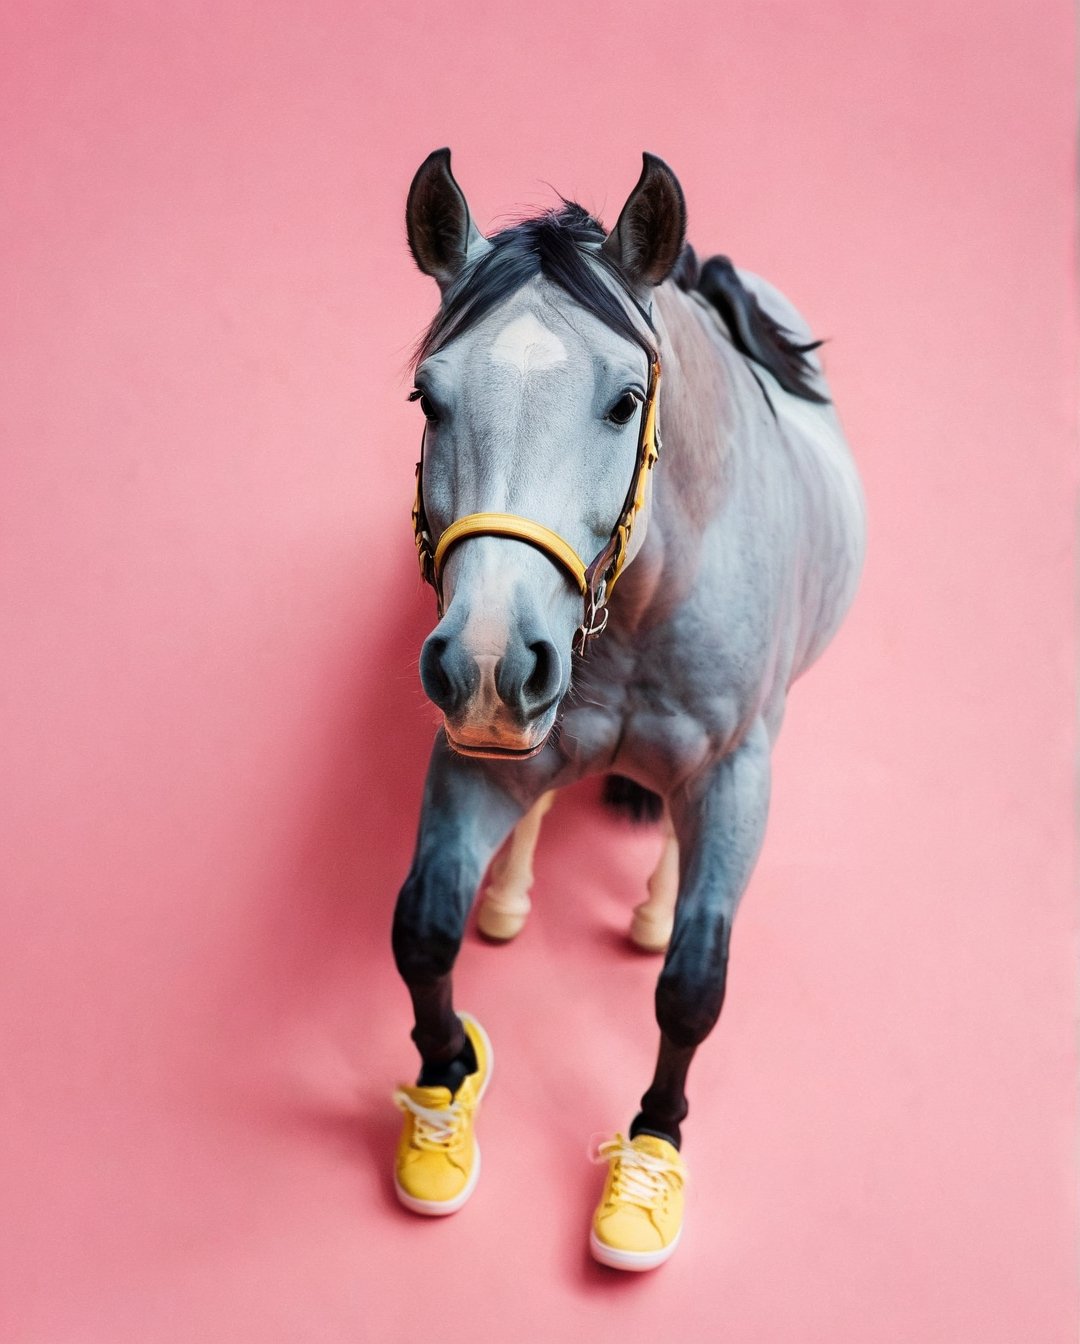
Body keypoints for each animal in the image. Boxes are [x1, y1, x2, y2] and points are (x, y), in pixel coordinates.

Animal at [386, 149, 859, 1268]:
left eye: (625, 400)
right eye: (428, 397)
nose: (487, 657)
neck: (645, 605)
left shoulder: (736, 778)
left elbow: (692, 987)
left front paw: (649, 1162)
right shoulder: (470, 758)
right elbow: (424, 927)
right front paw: (443, 1099)